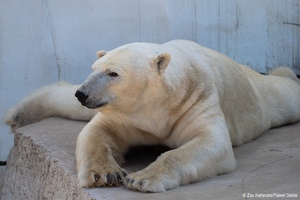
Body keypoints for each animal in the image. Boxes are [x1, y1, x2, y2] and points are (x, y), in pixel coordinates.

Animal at [4, 39, 300, 192]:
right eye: (94, 68)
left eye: (113, 73)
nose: (83, 93)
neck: (153, 105)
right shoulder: (122, 115)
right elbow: (96, 133)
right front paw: (105, 174)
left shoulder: (196, 99)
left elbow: (210, 142)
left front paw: (141, 178)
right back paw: (18, 114)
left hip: (264, 97)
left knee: (286, 95)